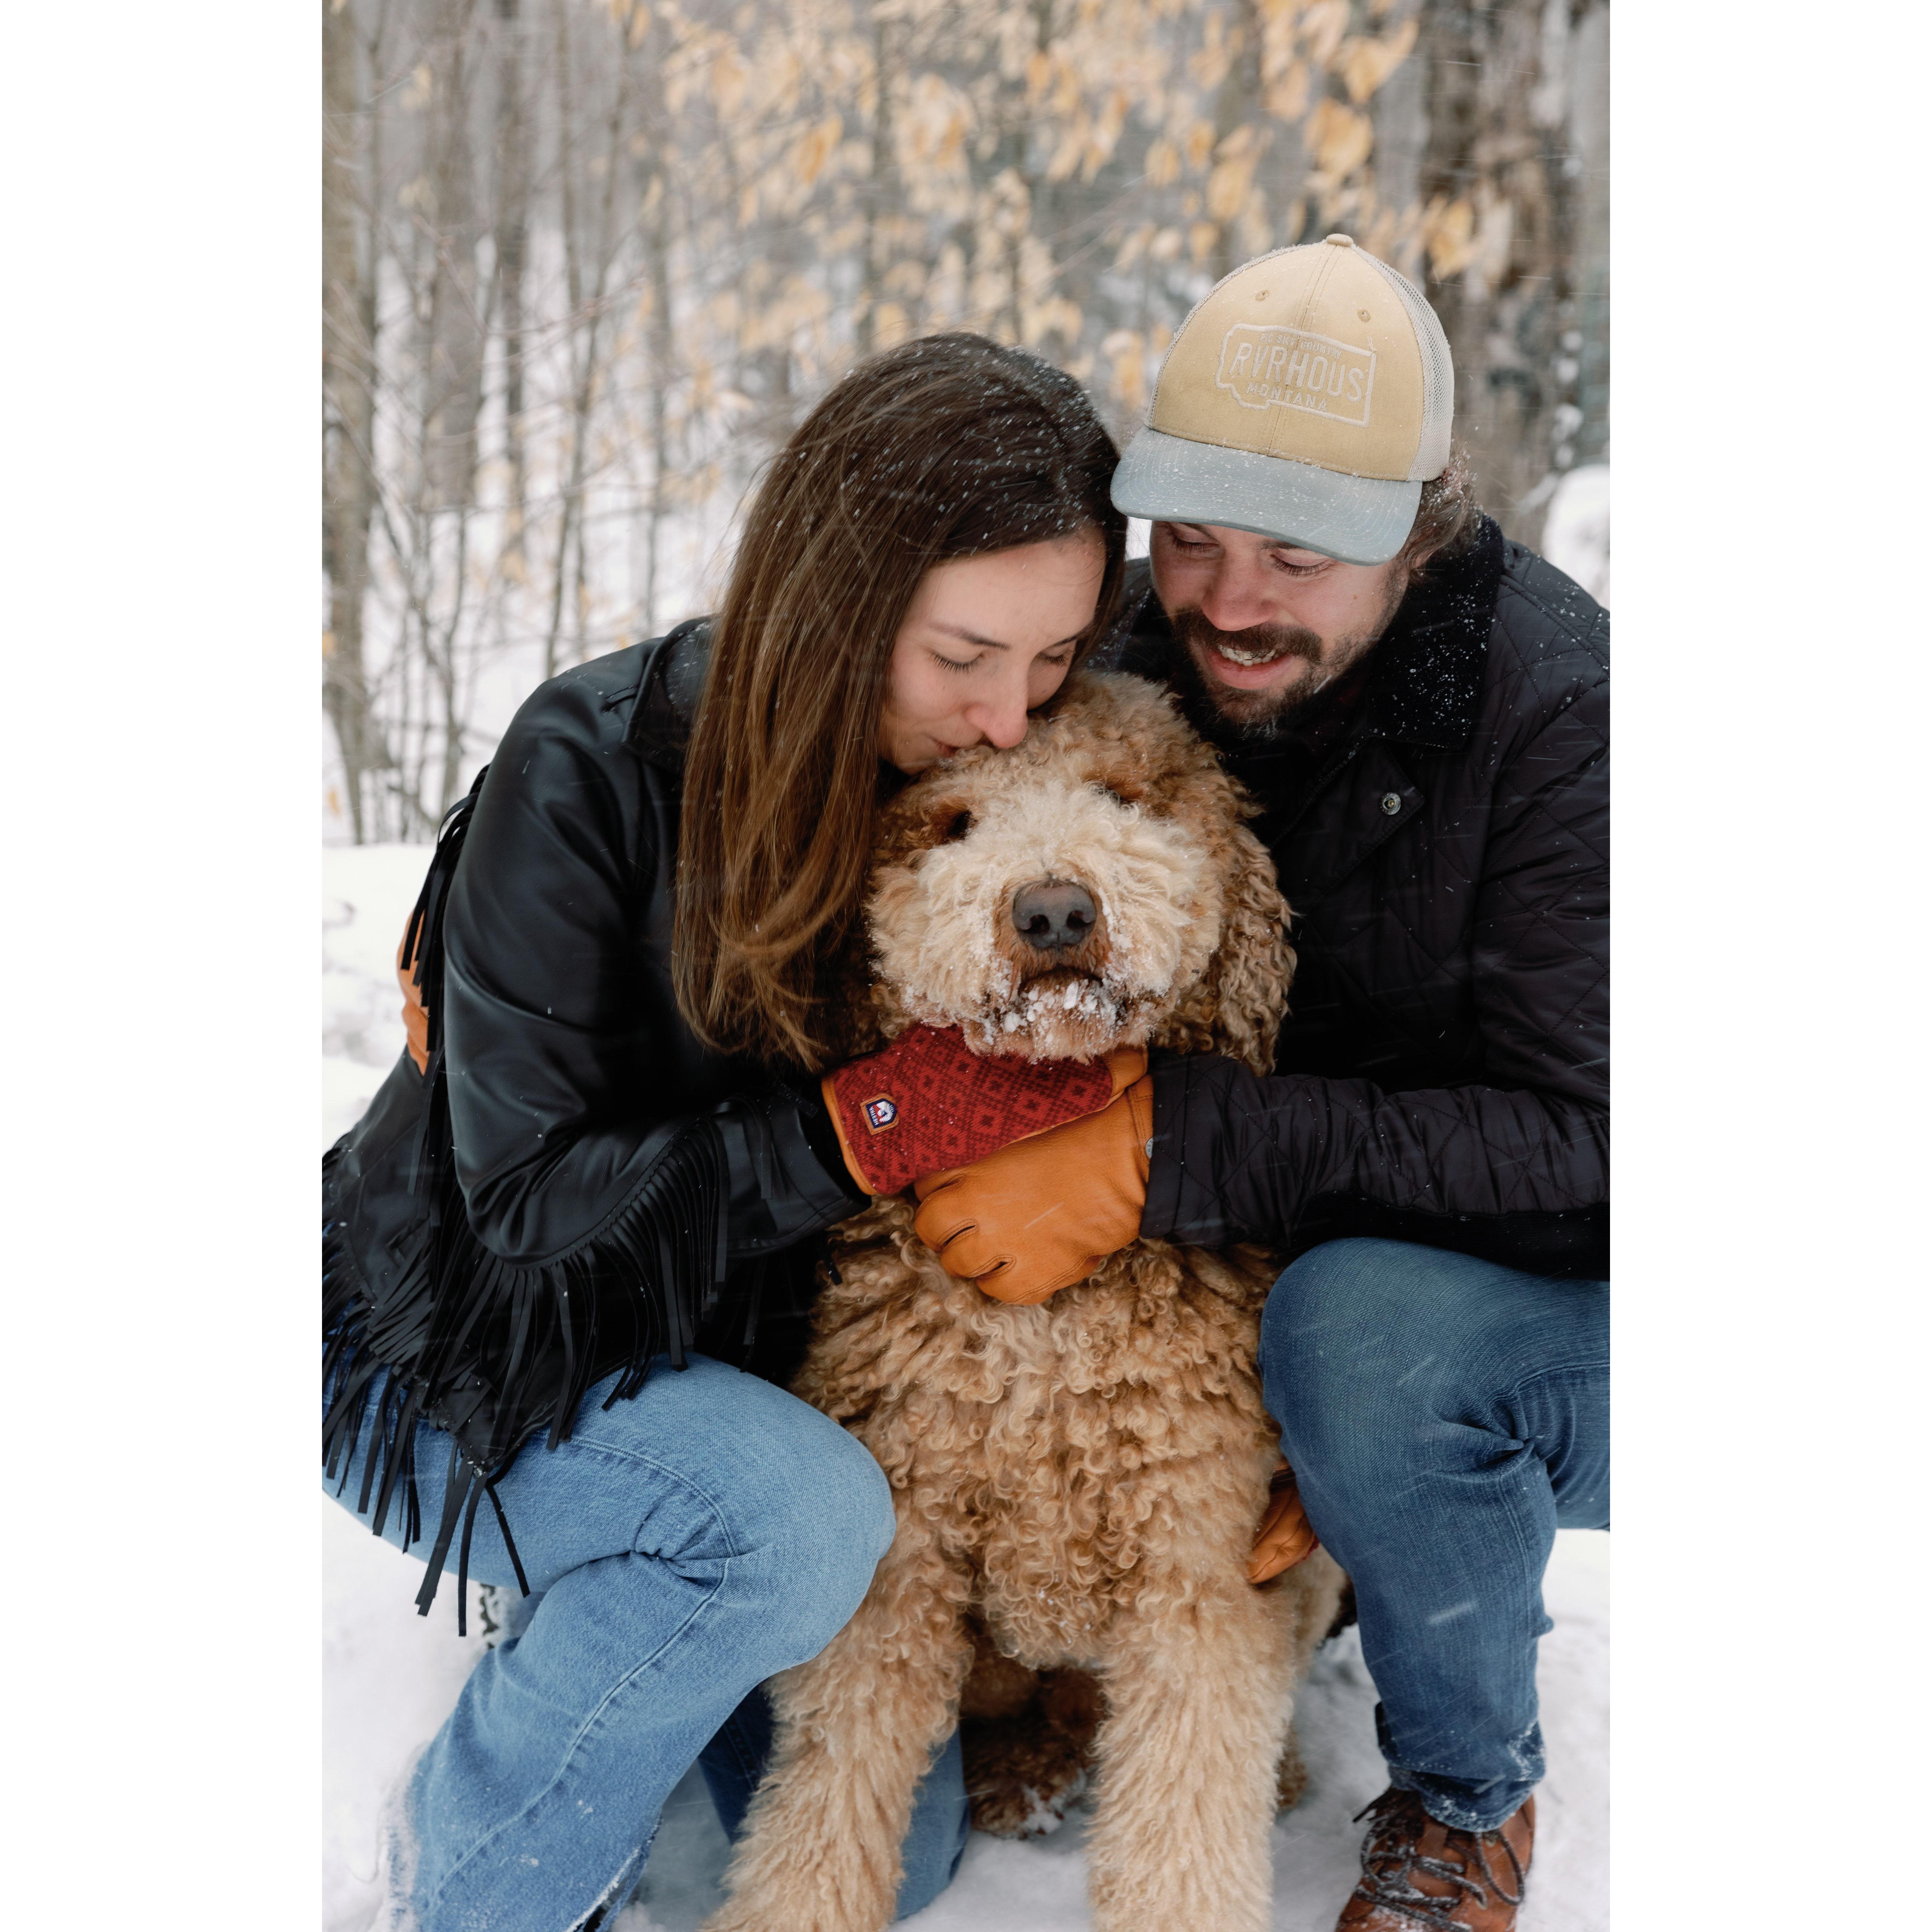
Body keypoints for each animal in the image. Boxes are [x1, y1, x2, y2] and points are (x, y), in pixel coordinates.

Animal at [702, 671, 1347, 1932]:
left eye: (1125, 795)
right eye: (953, 823)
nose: (1054, 913)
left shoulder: (1197, 1570)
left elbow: (1186, 1831)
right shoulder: (896, 1570)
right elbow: (822, 1810)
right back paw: (1017, 1774)